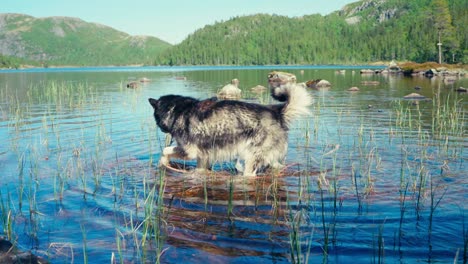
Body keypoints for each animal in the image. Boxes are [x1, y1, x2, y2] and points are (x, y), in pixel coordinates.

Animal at [148, 82, 312, 175]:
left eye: (155, 117)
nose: (162, 129)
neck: (175, 110)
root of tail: (276, 112)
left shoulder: (190, 151)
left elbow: (165, 150)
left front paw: (163, 162)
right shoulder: (203, 155)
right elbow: (201, 169)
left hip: (252, 159)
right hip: (270, 157)